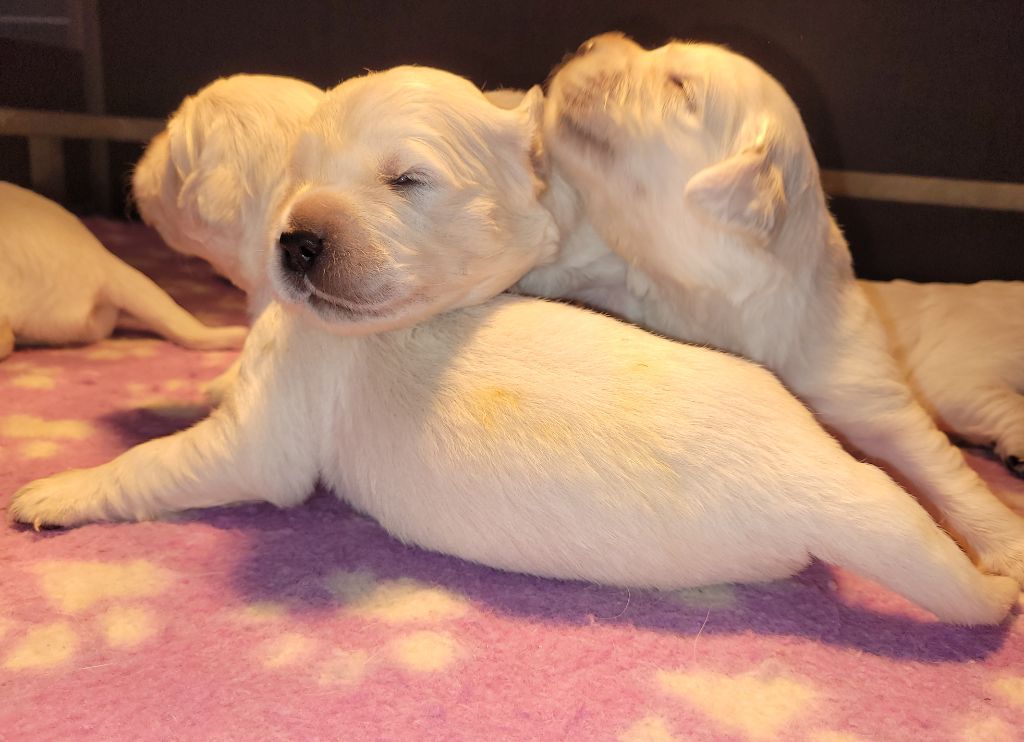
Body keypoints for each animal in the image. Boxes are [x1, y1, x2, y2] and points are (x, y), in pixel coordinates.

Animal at [515, 34, 1024, 583]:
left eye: (680, 86)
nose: (592, 42)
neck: (706, 295)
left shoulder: (860, 381)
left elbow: (935, 460)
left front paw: (1009, 545)